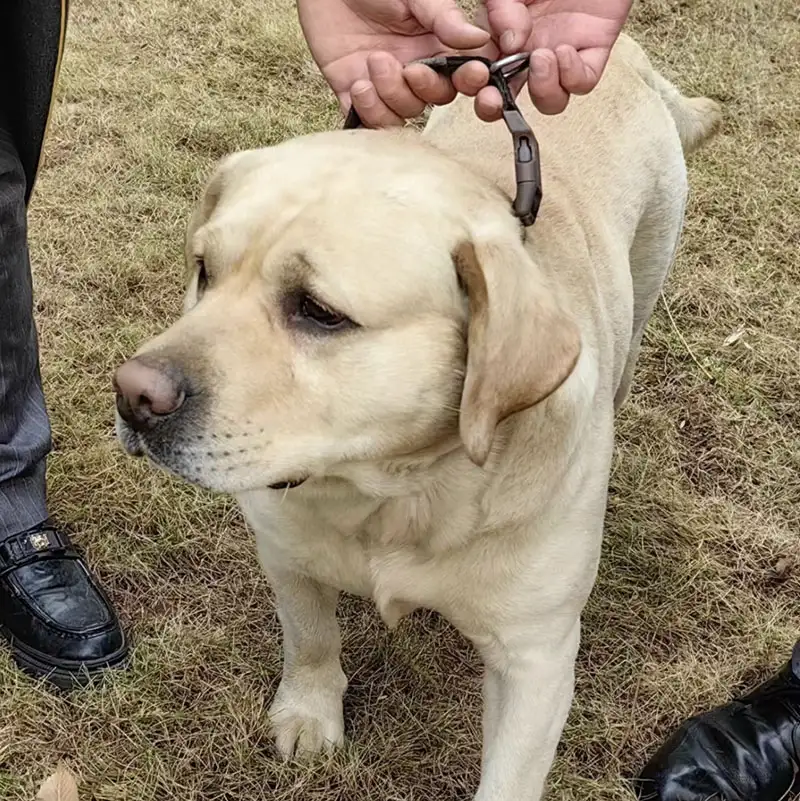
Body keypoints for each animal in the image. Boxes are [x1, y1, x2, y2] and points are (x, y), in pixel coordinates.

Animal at [111, 32, 720, 800]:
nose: (132, 396)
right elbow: (311, 636)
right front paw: (309, 712)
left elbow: (508, 780)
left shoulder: (537, 660)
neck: (398, 494)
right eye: (204, 271)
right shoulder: (284, 552)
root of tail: (629, 51)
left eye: (319, 311)